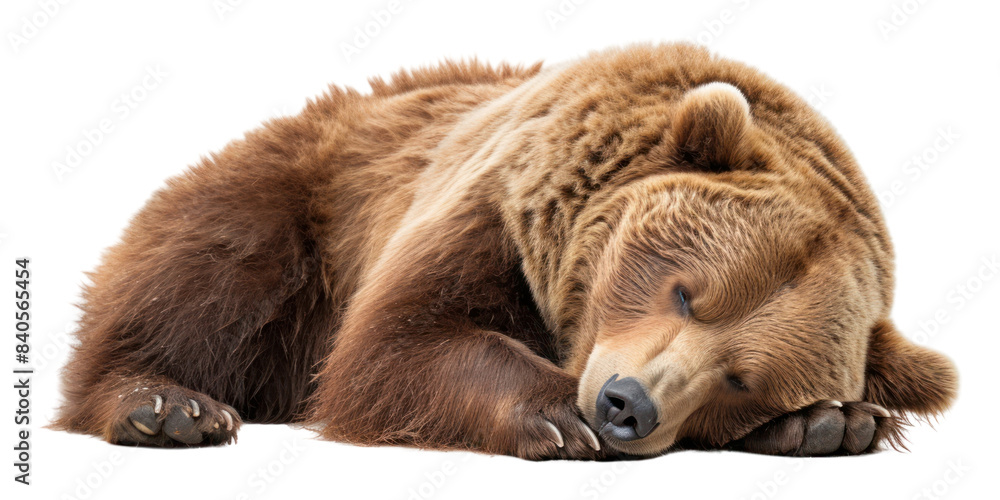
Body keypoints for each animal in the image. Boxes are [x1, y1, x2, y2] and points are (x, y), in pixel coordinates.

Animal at [53, 43, 957, 460]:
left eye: (743, 378)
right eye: (685, 289)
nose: (625, 405)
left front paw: (831, 422)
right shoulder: (490, 207)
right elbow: (397, 343)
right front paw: (556, 413)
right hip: (285, 201)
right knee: (204, 281)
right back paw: (167, 404)